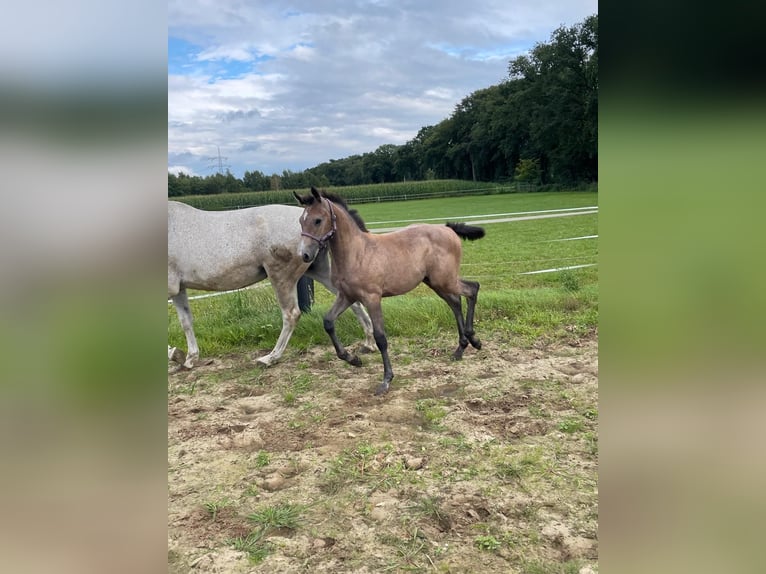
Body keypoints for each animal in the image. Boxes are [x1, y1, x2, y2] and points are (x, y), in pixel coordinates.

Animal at [166, 202, 376, 372]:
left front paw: (175, 354)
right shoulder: (179, 290)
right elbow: (186, 322)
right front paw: (188, 359)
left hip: (281, 277)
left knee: (291, 314)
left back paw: (270, 358)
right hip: (318, 271)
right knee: (352, 301)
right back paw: (368, 343)